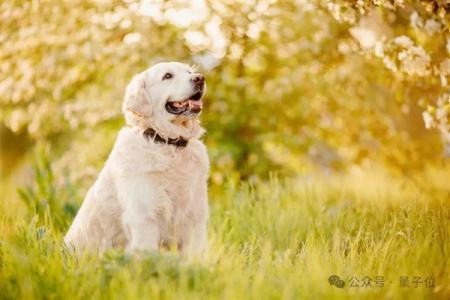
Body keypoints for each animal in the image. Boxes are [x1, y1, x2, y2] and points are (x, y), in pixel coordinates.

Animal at [63, 61, 209, 255]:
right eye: (167, 76)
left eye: (190, 72)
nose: (200, 78)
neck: (168, 144)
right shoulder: (144, 218)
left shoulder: (195, 218)